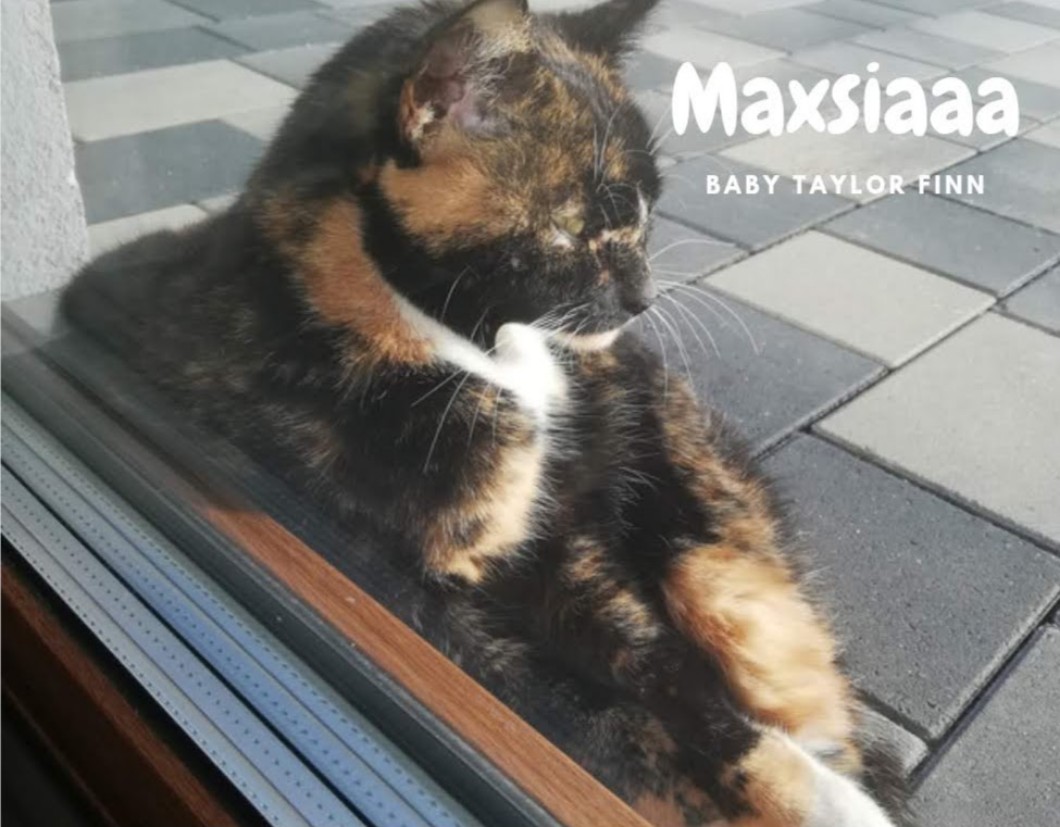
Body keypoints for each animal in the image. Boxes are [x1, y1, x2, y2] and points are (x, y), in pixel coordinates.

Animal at [62, 0, 912, 824]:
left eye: (645, 213)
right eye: (571, 225)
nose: (644, 297)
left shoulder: (557, 537)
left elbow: (653, 659)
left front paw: (816, 783)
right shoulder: (442, 592)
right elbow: (603, 713)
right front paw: (817, 799)